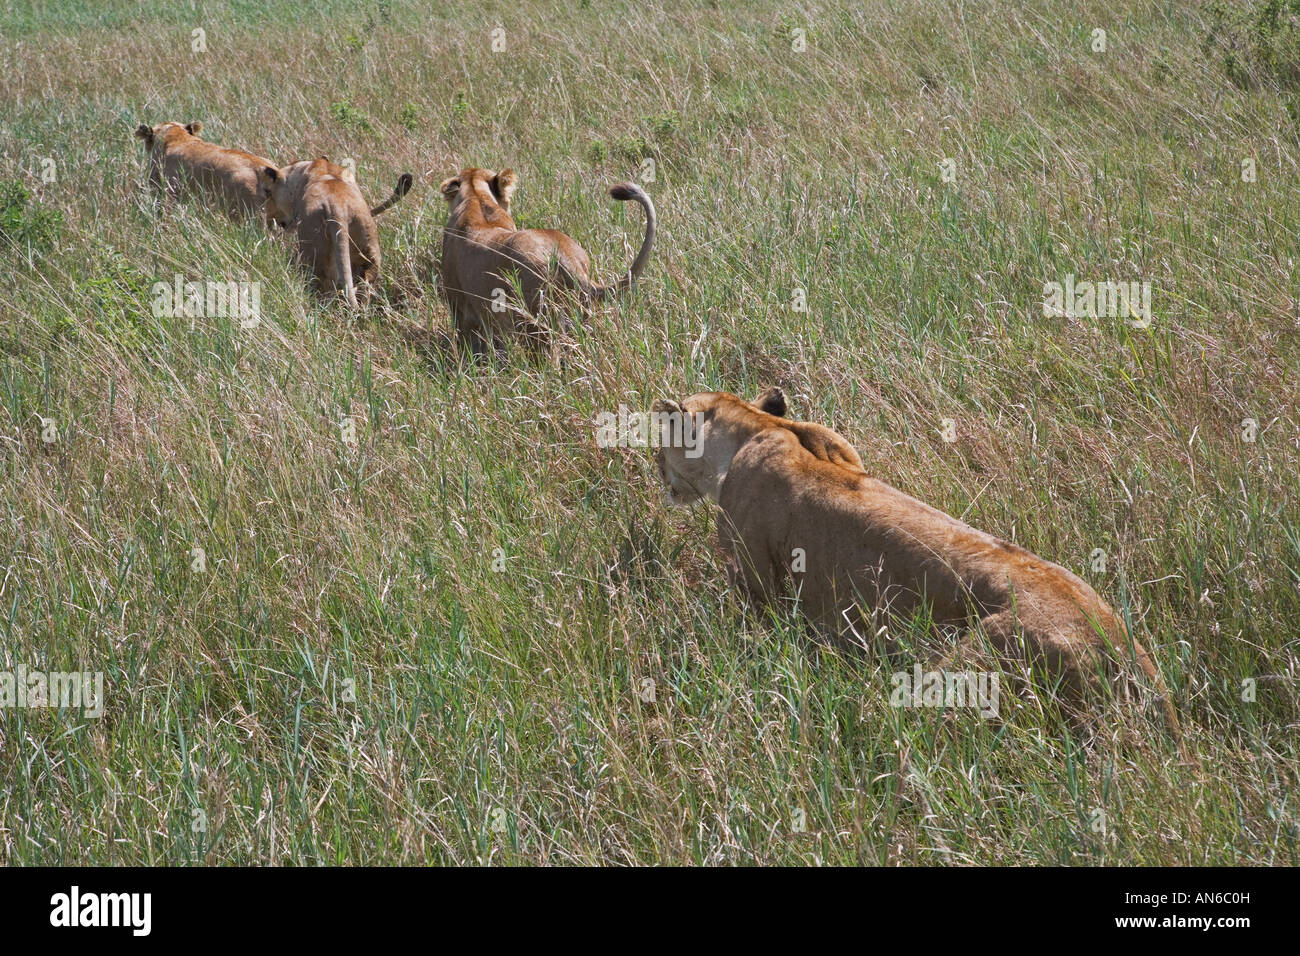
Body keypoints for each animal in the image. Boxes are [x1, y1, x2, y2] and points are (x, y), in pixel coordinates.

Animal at [257, 157, 410, 306]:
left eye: (269, 193)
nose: (267, 214)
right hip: (368, 248)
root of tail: (338, 207)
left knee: (321, 290)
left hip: (313, 254)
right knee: (363, 286)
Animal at [655, 385, 1185, 743]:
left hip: (966, 662)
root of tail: (1119, 646)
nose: (660, 477)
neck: (764, 429)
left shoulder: (754, 582)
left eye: (661, 447)